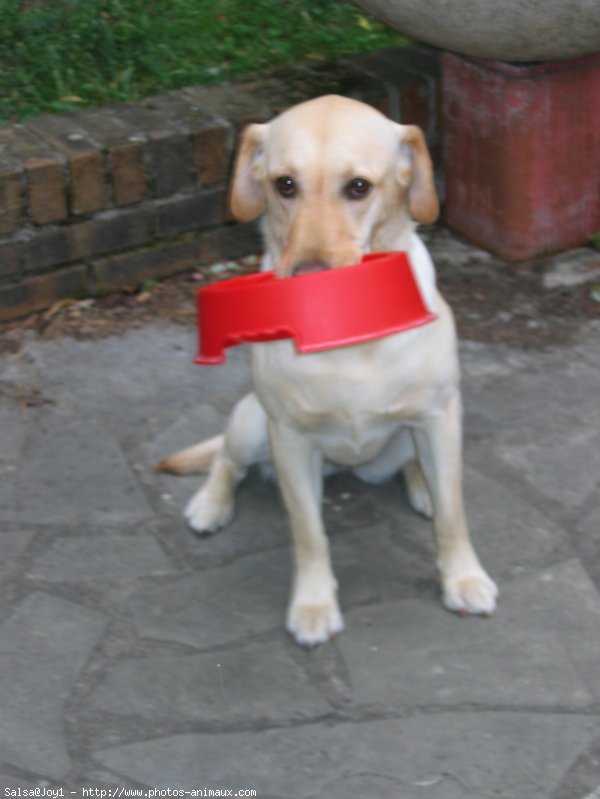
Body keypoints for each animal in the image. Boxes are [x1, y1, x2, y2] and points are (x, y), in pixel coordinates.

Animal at [158, 95, 496, 644]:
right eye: (284, 184)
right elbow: (309, 532)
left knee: (415, 467)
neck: (345, 335)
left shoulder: (441, 418)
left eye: (359, 186)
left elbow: (452, 512)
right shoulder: (291, 440)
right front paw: (313, 605)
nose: (310, 278)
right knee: (225, 459)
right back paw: (210, 505)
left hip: (411, 436)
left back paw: (421, 486)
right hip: (253, 424)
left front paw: (463, 579)